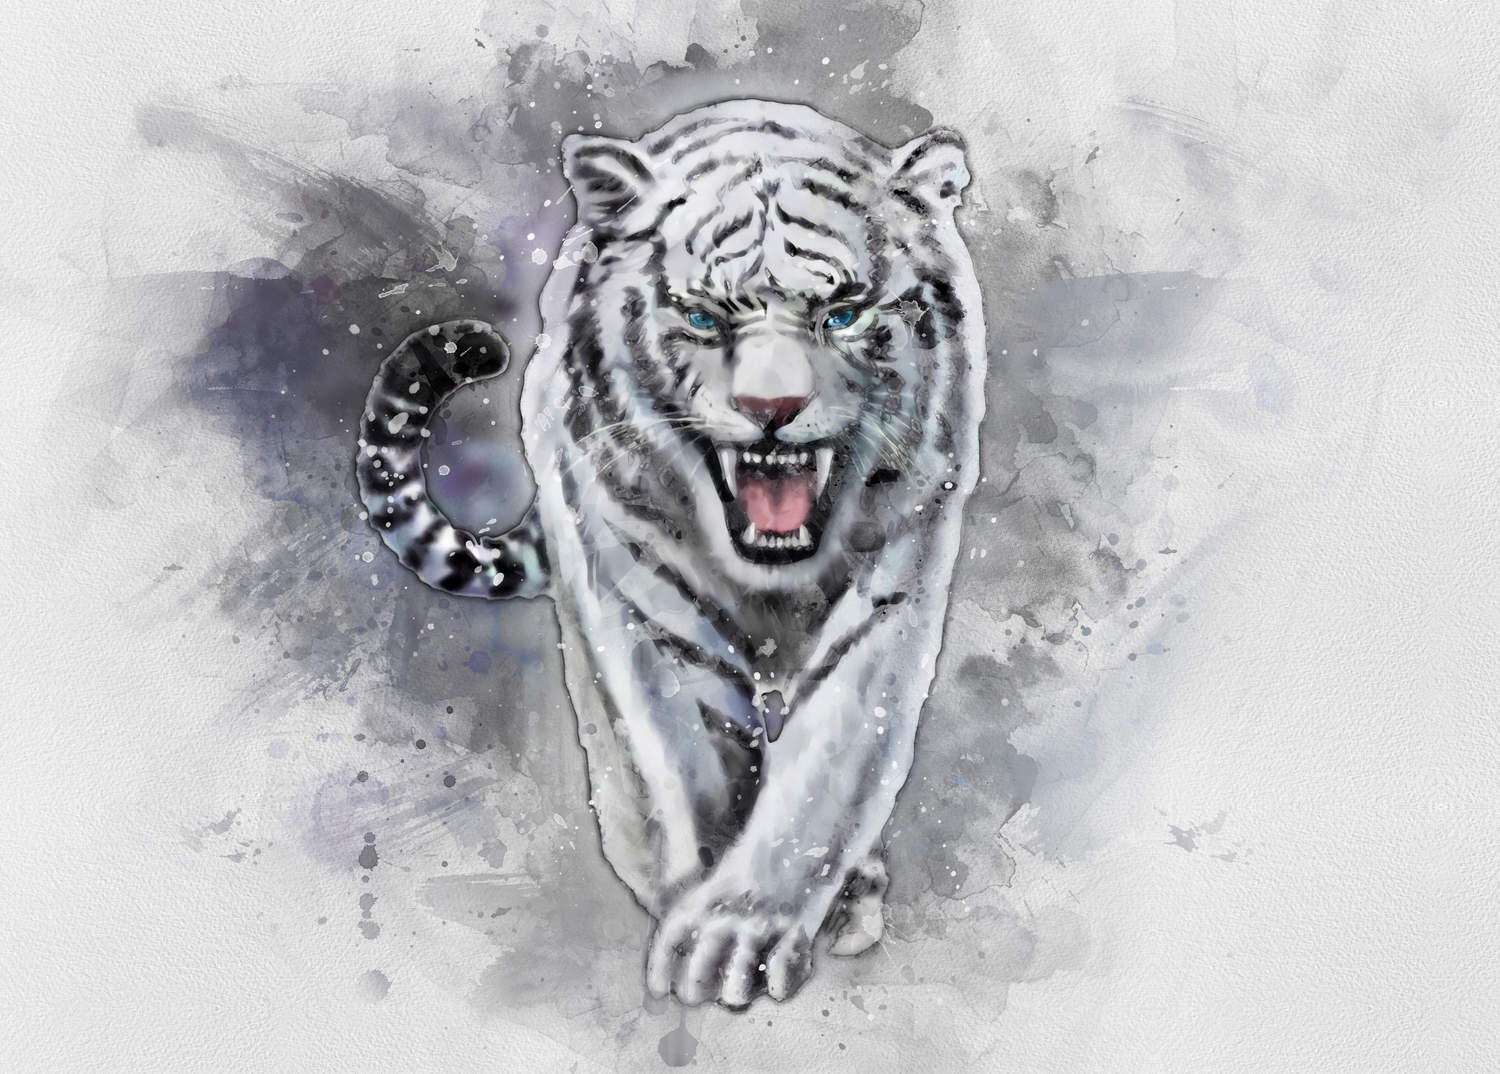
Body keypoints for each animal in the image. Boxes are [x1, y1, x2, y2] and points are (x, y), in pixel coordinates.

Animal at [355, 98, 985, 1008]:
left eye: (841, 315)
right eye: (703, 318)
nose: (770, 408)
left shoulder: (895, 584)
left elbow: (830, 763)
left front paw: (742, 927)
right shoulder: (639, 593)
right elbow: (686, 759)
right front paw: (697, 918)